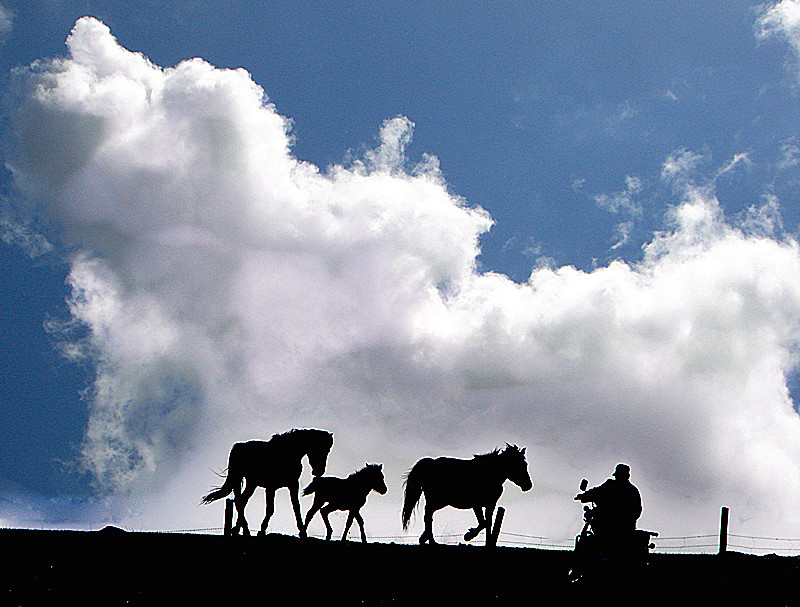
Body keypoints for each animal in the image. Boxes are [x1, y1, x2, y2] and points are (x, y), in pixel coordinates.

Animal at [205, 428, 336, 536]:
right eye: (319, 448)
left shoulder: (293, 484)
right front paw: (262, 530)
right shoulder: (271, 487)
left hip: (252, 483)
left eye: (328, 450)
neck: (288, 454)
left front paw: (303, 531)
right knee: (238, 501)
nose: (319, 471)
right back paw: (245, 531)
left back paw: (238, 529)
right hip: (238, 479)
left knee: (242, 501)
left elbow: (296, 507)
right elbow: (270, 509)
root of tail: (239, 446)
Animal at [400, 444, 532, 548]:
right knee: (428, 515)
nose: (528, 486)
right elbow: (483, 523)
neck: (490, 473)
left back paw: (425, 539)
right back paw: (431, 541)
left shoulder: (490, 504)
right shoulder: (477, 504)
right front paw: (468, 536)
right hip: (437, 500)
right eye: (518, 465)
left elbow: (487, 523)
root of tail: (430, 463)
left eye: (525, 464)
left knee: (428, 515)